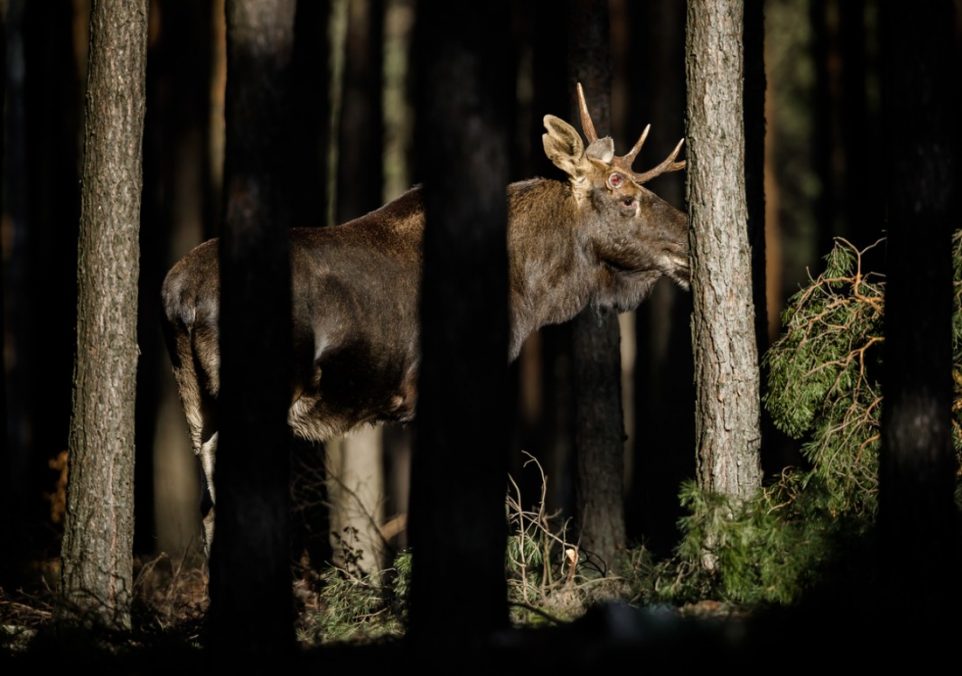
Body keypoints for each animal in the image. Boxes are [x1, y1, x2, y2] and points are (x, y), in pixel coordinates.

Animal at [161, 86, 688, 548]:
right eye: (625, 197)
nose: (687, 239)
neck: (528, 290)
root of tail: (178, 296)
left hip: (194, 398)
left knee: (207, 500)